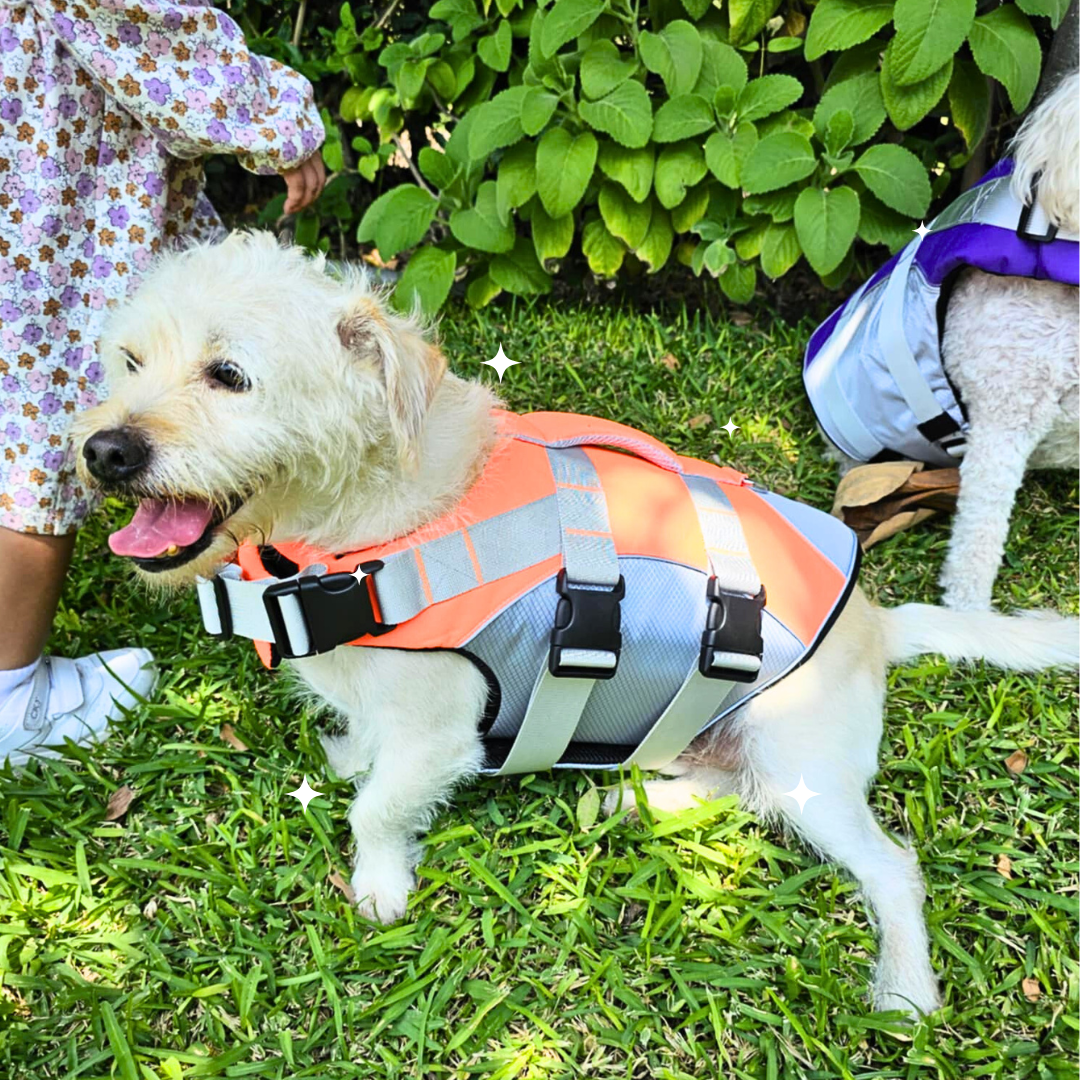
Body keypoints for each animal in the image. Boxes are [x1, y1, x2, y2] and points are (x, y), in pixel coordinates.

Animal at [71, 232, 1075, 1015]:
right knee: (729, 786)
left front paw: (380, 881)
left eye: (230, 374)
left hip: (803, 764)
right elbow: (367, 758)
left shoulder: (443, 732)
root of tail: (874, 621)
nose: (104, 451)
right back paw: (628, 799)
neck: (366, 523)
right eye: (128, 362)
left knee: (887, 864)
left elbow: (378, 806)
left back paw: (904, 987)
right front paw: (352, 756)